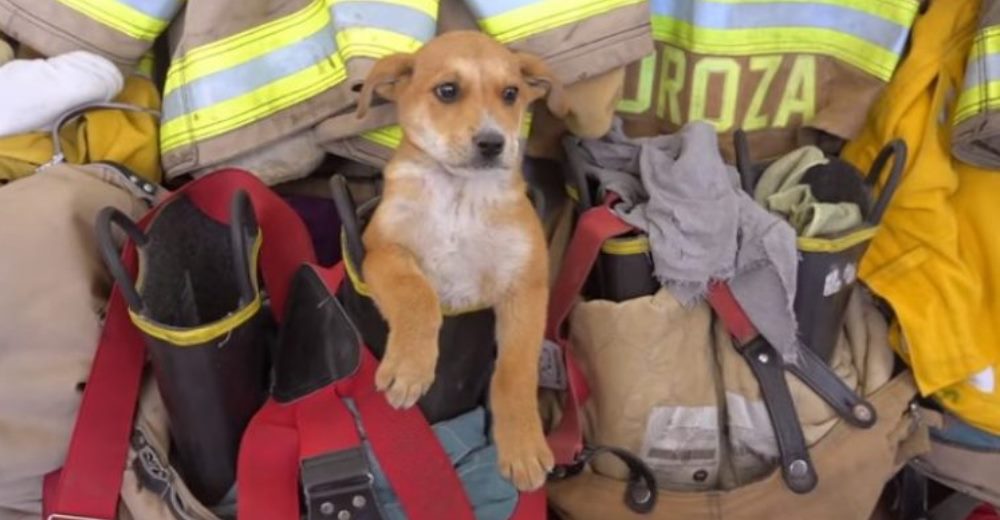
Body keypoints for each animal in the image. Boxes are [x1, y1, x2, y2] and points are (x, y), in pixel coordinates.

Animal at [356, 32, 568, 492]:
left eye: (511, 94)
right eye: (447, 91)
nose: (492, 143)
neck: (459, 195)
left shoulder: (525, 286)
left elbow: (515, 371)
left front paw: (523, 445)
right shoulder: (380, 249)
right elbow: (417, 294)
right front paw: (410, 366)